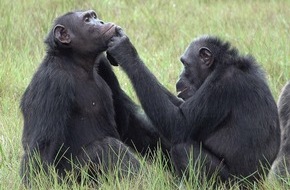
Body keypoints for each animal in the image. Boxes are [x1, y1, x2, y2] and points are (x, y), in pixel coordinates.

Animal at [20, 10, 164, 186]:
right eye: (87, 20)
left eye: (94, 16)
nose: (100, 22)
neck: (76, 62)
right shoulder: (52, 82)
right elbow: (42, 147)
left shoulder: (103, 65)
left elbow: (128, 119)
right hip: (70, 179)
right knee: (107, 148)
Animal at [107, 29, 280, 183]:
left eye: (185, 64)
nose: (180, 76)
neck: (219, 65)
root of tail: (259, 182)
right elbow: (179, 108)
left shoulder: (222, 85)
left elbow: (179, 123)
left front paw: (125, 51)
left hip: (229, 183)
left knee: (182, 149)